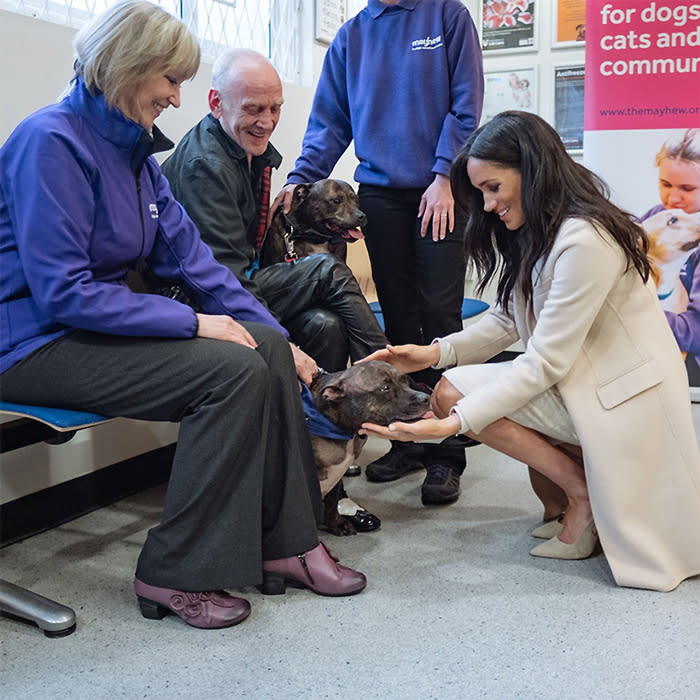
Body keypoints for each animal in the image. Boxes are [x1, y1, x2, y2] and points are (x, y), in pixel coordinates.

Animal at [308, 360, 430, 536]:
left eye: (405, 381)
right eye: (385, 388)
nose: (426, 398)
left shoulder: (337, 475)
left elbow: (332, 503)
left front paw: (337, 525)